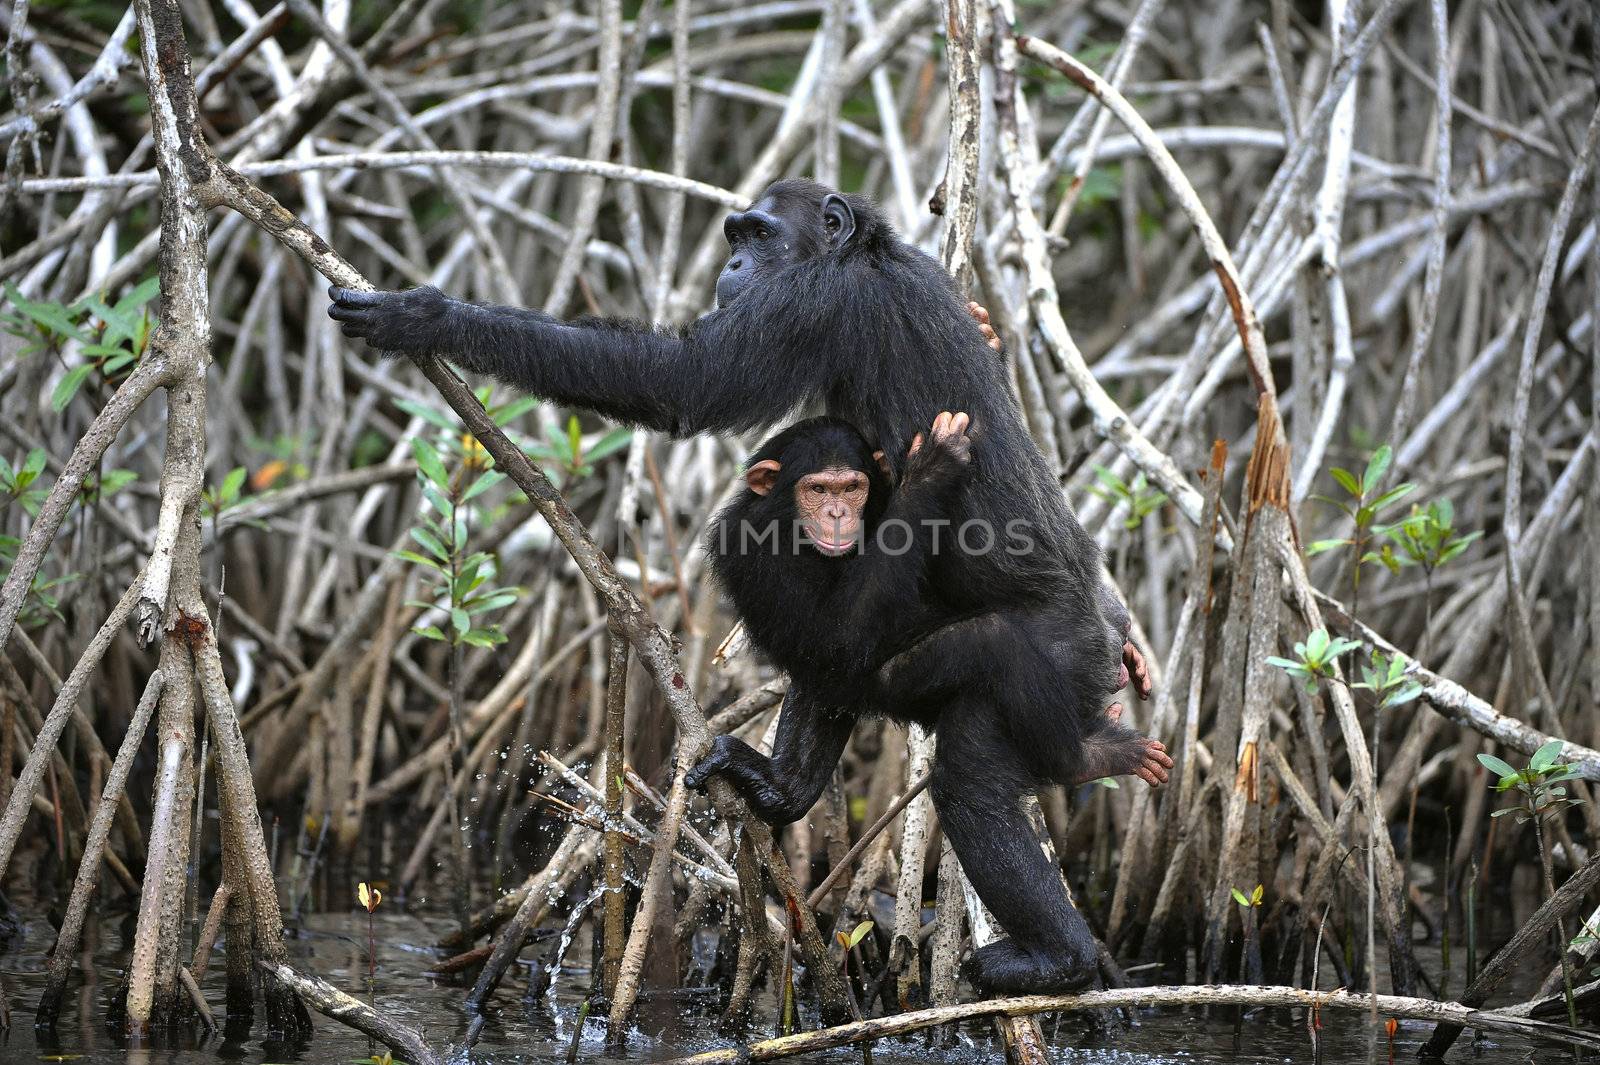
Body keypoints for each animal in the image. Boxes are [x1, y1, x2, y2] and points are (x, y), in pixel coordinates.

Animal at [684, 412, 1164, 985]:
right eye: (817, 488)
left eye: (851, 486)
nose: (838, 512)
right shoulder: (755, 547)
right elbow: (837, 635)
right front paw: (932, 470)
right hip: (894, 685)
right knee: (991, 666)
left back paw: (781, 787)